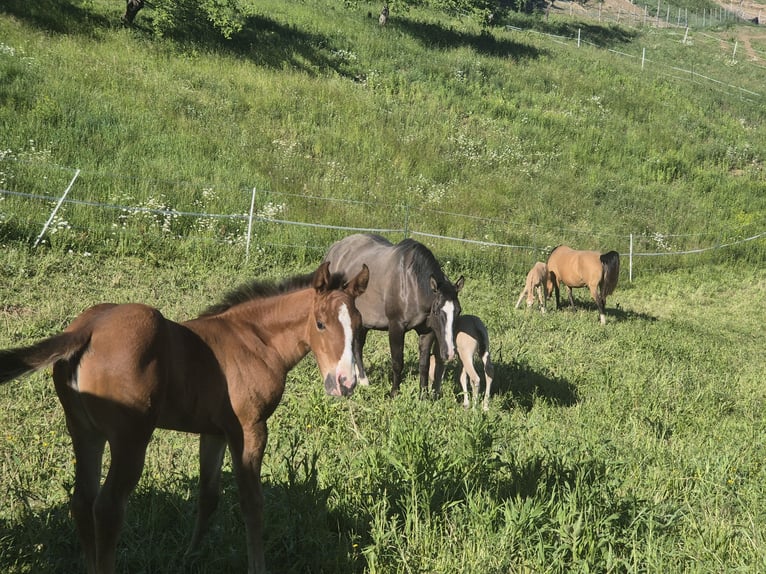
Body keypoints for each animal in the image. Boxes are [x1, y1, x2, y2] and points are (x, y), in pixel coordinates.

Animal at [0, 262, 369, 574]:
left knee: (82, 500)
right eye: (320, 323)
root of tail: (88, 327)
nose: (345, 382)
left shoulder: (216, 431)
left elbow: (208, 496)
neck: (255, 340)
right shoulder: (250, 427)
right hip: (130, 438)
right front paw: (257, 566)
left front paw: (190, 556)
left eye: (361, 327)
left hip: (84, 431)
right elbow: (252, 502)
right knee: (107, 507)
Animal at [323, 233, 464, 398]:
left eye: (458, 311)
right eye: (436, 311)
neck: (411, 285)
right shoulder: (396, 327)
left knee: (357, 346)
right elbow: (397, 363)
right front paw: (394, 392)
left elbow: (424, 364)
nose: (450, 353)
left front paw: (423, 395)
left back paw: (363, 380)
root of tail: (335, 248)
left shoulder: (427, 332)